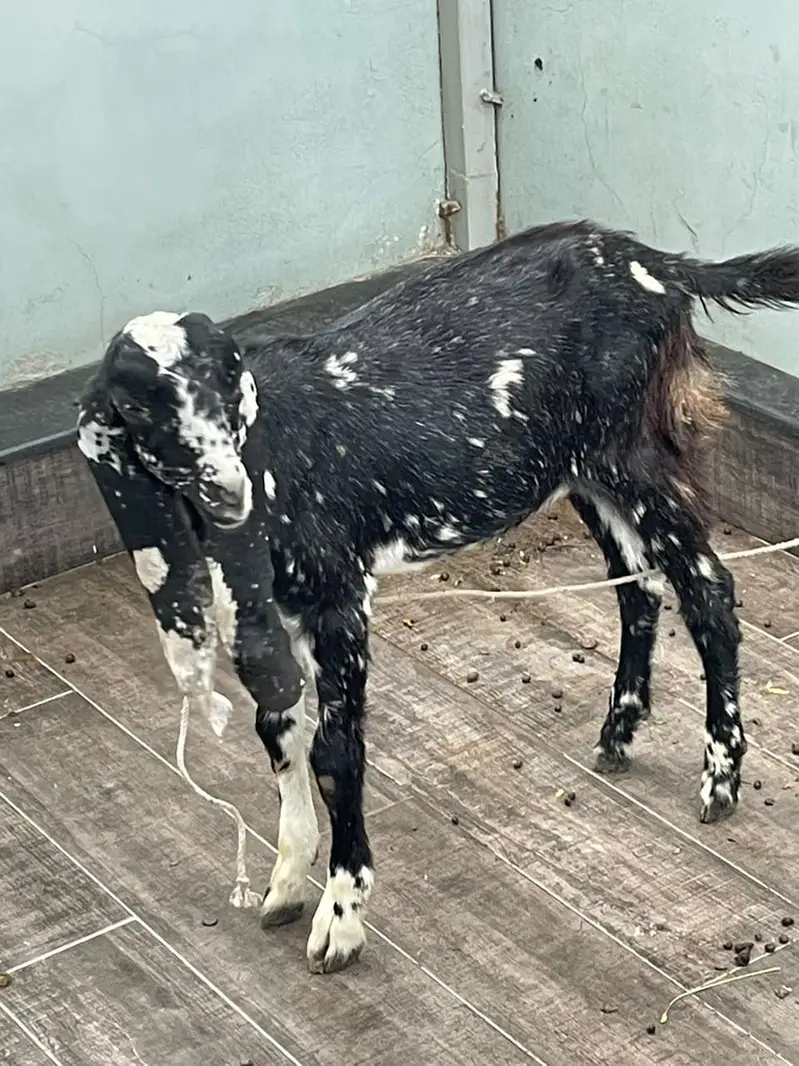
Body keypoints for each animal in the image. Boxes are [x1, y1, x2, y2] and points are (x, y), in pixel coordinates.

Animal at [77, 220, 799, 974]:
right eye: (135, 405)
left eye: (227, 384)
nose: (226, 489)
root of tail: (654, 262)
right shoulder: (266, 617)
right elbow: (279, 733)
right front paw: (285, 880)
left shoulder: (337, 600)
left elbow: (336, 753)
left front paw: (340, 920)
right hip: (583, 472)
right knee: (640, 587)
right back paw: (618, 733)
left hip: (633, 454)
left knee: (707, 588)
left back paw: (719, 778)